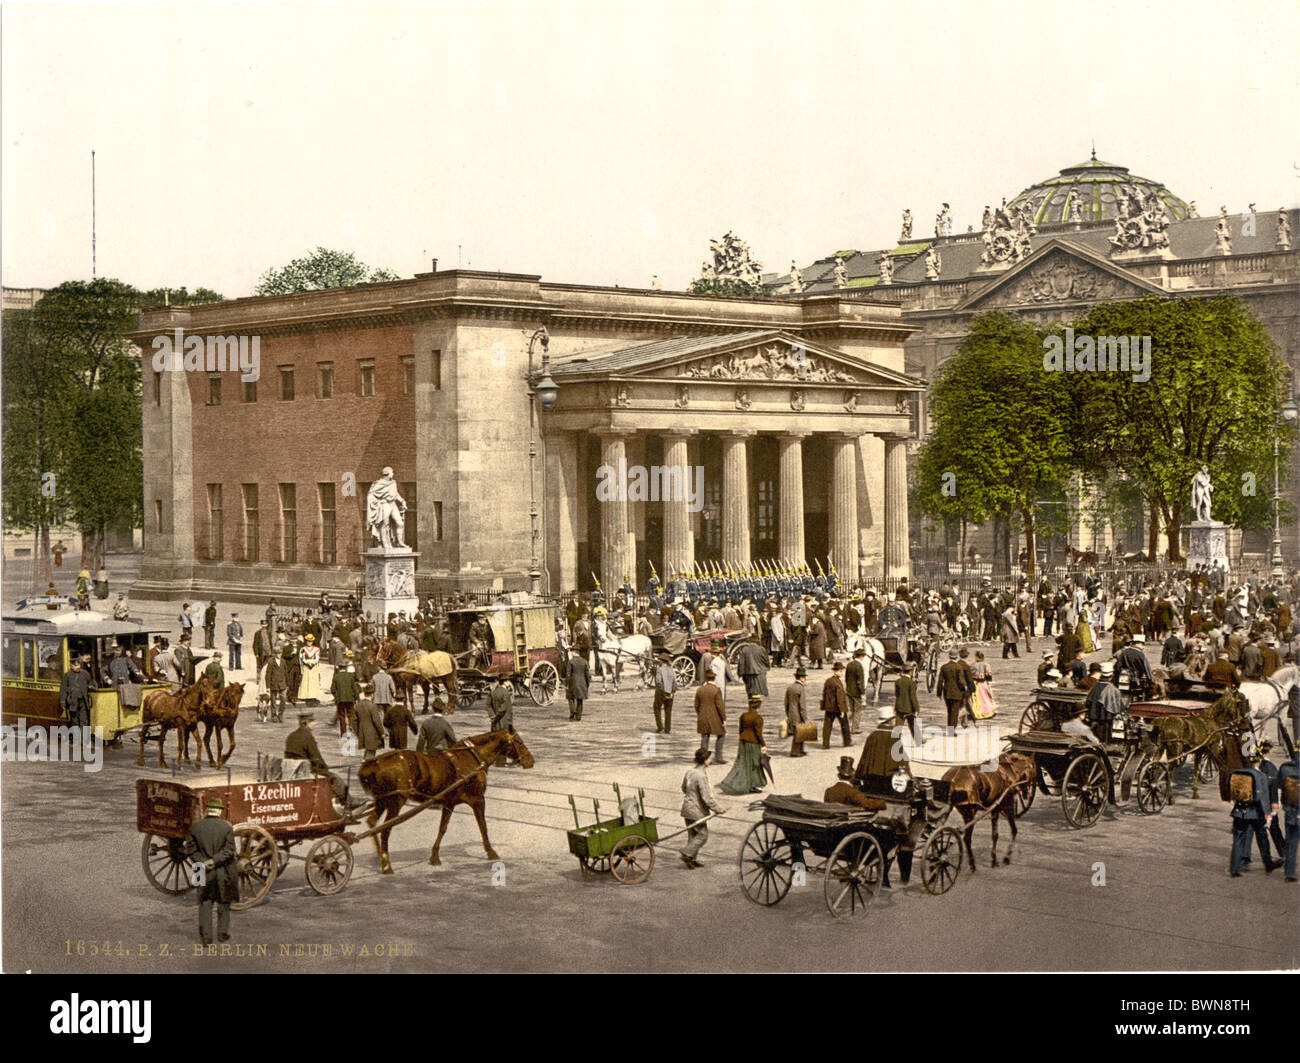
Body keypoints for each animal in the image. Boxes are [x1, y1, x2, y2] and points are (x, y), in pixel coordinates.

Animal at [356, 727, 533, 868]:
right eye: (519, 741)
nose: (531, 761)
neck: (473, 757)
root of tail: (375, 762)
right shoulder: (478, 799)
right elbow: (483, 826)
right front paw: (491, 852)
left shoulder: (449, 803)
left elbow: (442, 828)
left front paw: (434, 856)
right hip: (395, 802)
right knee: (385, 830)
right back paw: (387, 865)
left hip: (382, 801)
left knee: (372, 823)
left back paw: (380, 857)